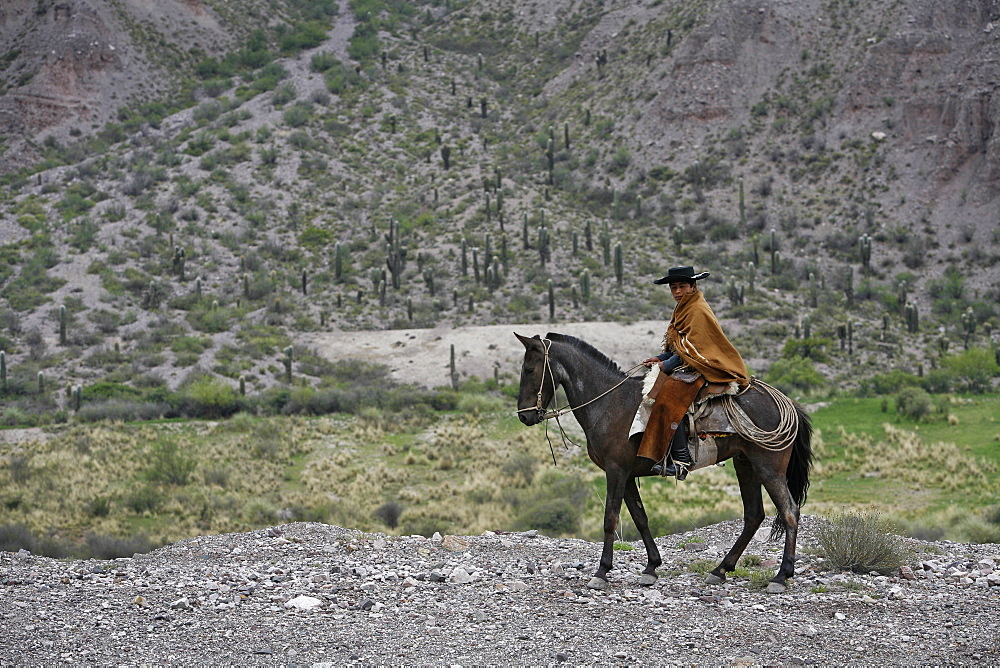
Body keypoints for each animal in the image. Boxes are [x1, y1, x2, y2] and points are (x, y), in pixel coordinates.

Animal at [516, 334, 812, 596]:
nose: (524, 416)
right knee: (753, 515)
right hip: (745, 464)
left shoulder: (616, 472)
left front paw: (601, 572)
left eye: (529, 369)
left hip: (768, 467)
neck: (609, 404)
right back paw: (720, 570)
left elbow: (610, 519)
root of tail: (787, 401)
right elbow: (640, 518)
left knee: (789, 511)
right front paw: (651, 567)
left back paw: (781, 576)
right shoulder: (627, 475)